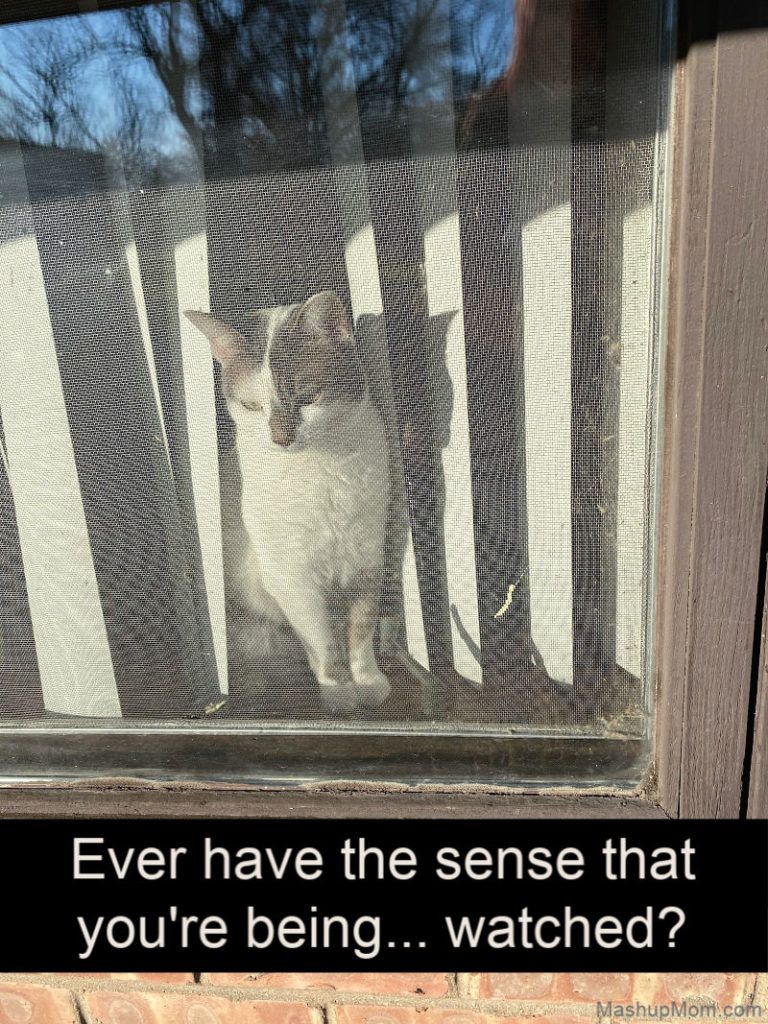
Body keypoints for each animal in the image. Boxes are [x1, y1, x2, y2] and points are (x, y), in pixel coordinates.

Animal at [185, 290, 391, 712]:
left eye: (308, 397)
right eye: (252, 406)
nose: (281, 439)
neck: (322, 467)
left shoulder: (366, 557)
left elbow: (362, 628)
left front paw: (367, 680)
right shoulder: (291, 576)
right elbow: (323, 641)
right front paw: (340, 693)